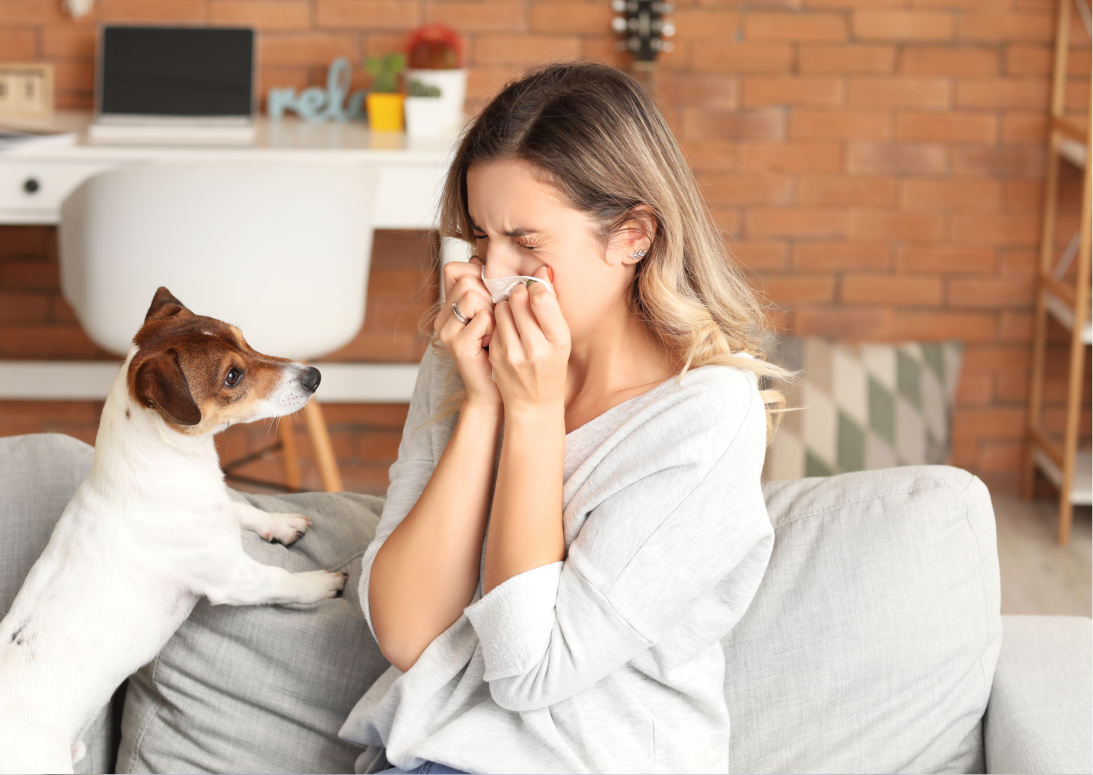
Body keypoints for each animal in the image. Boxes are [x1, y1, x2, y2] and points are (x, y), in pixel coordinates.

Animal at [0, 286, 345, 769]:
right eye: (232, 376)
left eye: (245, 339)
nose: (314, 376)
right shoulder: (233, 578)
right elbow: (282, 581)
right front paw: (322, 583)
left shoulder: (219, 507)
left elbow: (241, 508)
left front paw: (281, 521)